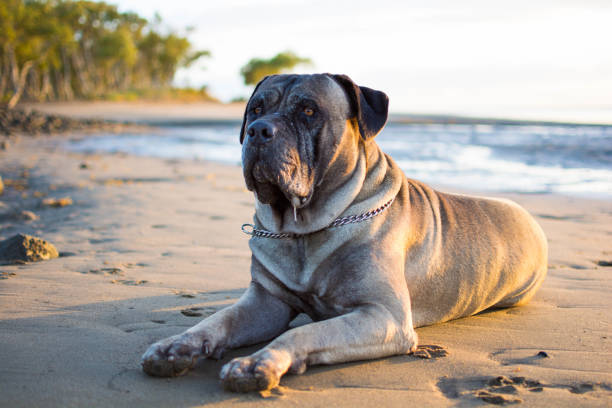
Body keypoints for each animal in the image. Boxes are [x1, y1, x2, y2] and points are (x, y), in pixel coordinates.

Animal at [143, 73, 548, 392]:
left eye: (309, 111)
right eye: (255, 109)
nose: (258, 131)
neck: (303, 229)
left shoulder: (383, 316)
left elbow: (303, 332)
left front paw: (260, 362)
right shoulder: (266, 302)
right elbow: (219, 320)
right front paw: (176, 345)